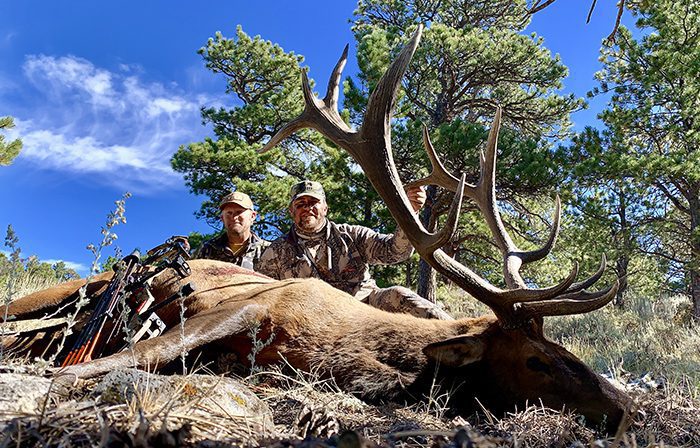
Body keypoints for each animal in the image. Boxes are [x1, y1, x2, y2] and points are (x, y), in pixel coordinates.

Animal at [1, 25, 632, 434]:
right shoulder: (240, 310)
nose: (624, 409)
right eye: (536, 360)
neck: (339, 349)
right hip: (67, 287)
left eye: (564, 348)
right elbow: (99, 366)